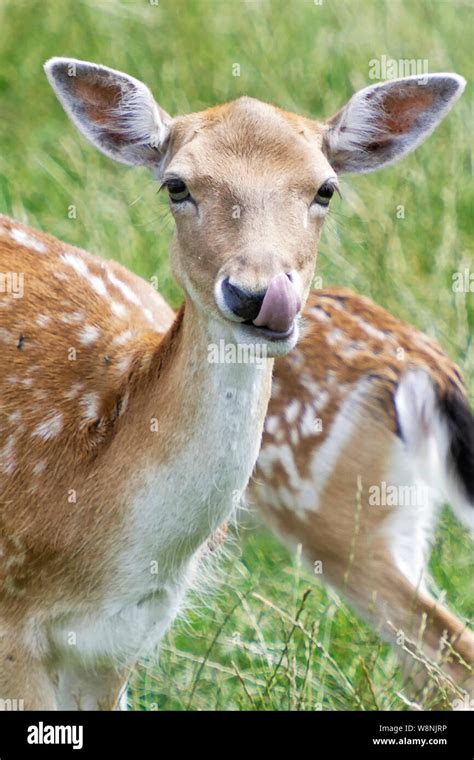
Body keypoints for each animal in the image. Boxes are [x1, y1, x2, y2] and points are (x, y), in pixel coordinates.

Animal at [0, 58, 466, 708]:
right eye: (176, 185)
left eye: (326, 188)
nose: (257, 294)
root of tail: (428, 366)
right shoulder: (28, 633)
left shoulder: (116, 643)